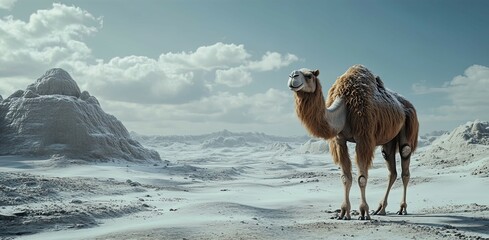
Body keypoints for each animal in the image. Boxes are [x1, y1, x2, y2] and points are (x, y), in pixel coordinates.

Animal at [288, 64, 418, 219]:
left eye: (309, 75)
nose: (292, 76)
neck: (345, 106)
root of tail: (408, 104)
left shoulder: (364, 138)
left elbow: (361, 178)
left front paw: (364, 212)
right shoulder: (340, 140)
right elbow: (345, 177)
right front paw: (344, 212)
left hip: (408, 124)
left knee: (405, 160)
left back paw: (402, 208)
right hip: (389, 137)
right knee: (391, 169)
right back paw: (381, 209)